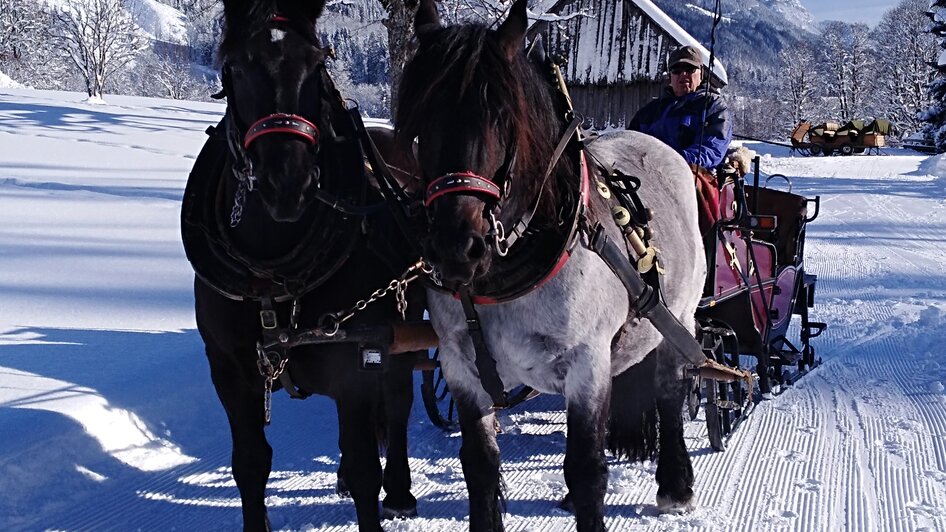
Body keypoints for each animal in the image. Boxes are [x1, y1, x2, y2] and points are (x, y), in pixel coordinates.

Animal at [182, 2, 424, 528]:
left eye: (316, 64)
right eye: (235, 67)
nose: (286, 182)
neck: (270, 276)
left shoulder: (358, 363)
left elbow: (366, 470)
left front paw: (376, 488)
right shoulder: (230, 371)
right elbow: (251, 463)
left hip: (404, 322)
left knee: (398, 403)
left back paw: (400, 490)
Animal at [394, 1, 704, 528]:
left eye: (503, 116)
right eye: (420, 120)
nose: (456, 248)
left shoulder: (586, 362)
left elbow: (587, 468)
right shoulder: (459, 365)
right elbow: (479, 465)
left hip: (677, 318)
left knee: (668, 392)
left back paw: (675, 485)